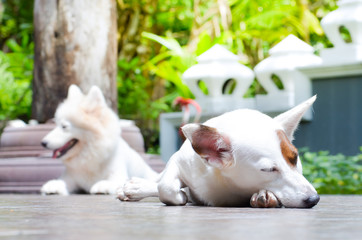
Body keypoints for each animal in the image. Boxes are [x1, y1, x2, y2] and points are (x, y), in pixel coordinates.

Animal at [119, 96, 320, 208]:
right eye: (268, 170)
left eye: (295, 159)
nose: (314, 199)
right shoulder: (180, 161)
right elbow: (166, 186)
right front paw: (178, 194)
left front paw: (265, 195)